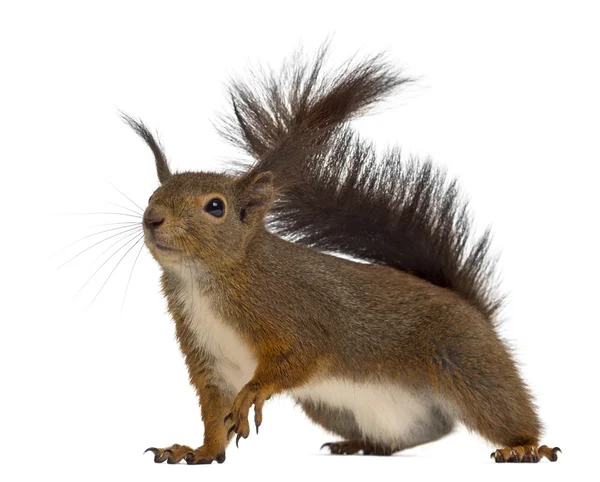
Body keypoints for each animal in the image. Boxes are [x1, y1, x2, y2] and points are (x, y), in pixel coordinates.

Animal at [120, 46, 556, 464]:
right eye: (152, 195)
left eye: (215, 207)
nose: (152, 219)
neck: (204, 278)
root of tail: (477, 314)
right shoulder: (209, 359)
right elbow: (215, 413)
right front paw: (201, 451)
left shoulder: (296, 315)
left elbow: (300, 357)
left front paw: (255, 392)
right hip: (336, 408)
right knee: (418, 434)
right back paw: (363, 445)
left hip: (467, 363)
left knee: (504, 411)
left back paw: (523, 447)